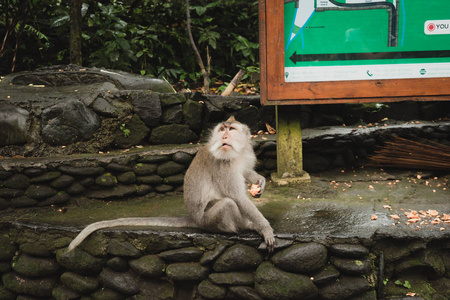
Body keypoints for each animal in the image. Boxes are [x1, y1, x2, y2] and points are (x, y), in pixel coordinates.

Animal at [67, 116, 274, 252]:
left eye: (231, 130)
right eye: (222, 129)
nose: (224, 137)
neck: (235, 152)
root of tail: (194, 218)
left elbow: (245, 172)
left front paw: (259, 182)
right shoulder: (222, 164)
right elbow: (237, 197)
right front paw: (264, 228)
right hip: (208, 221)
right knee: (227, 204)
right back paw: (245, 226)